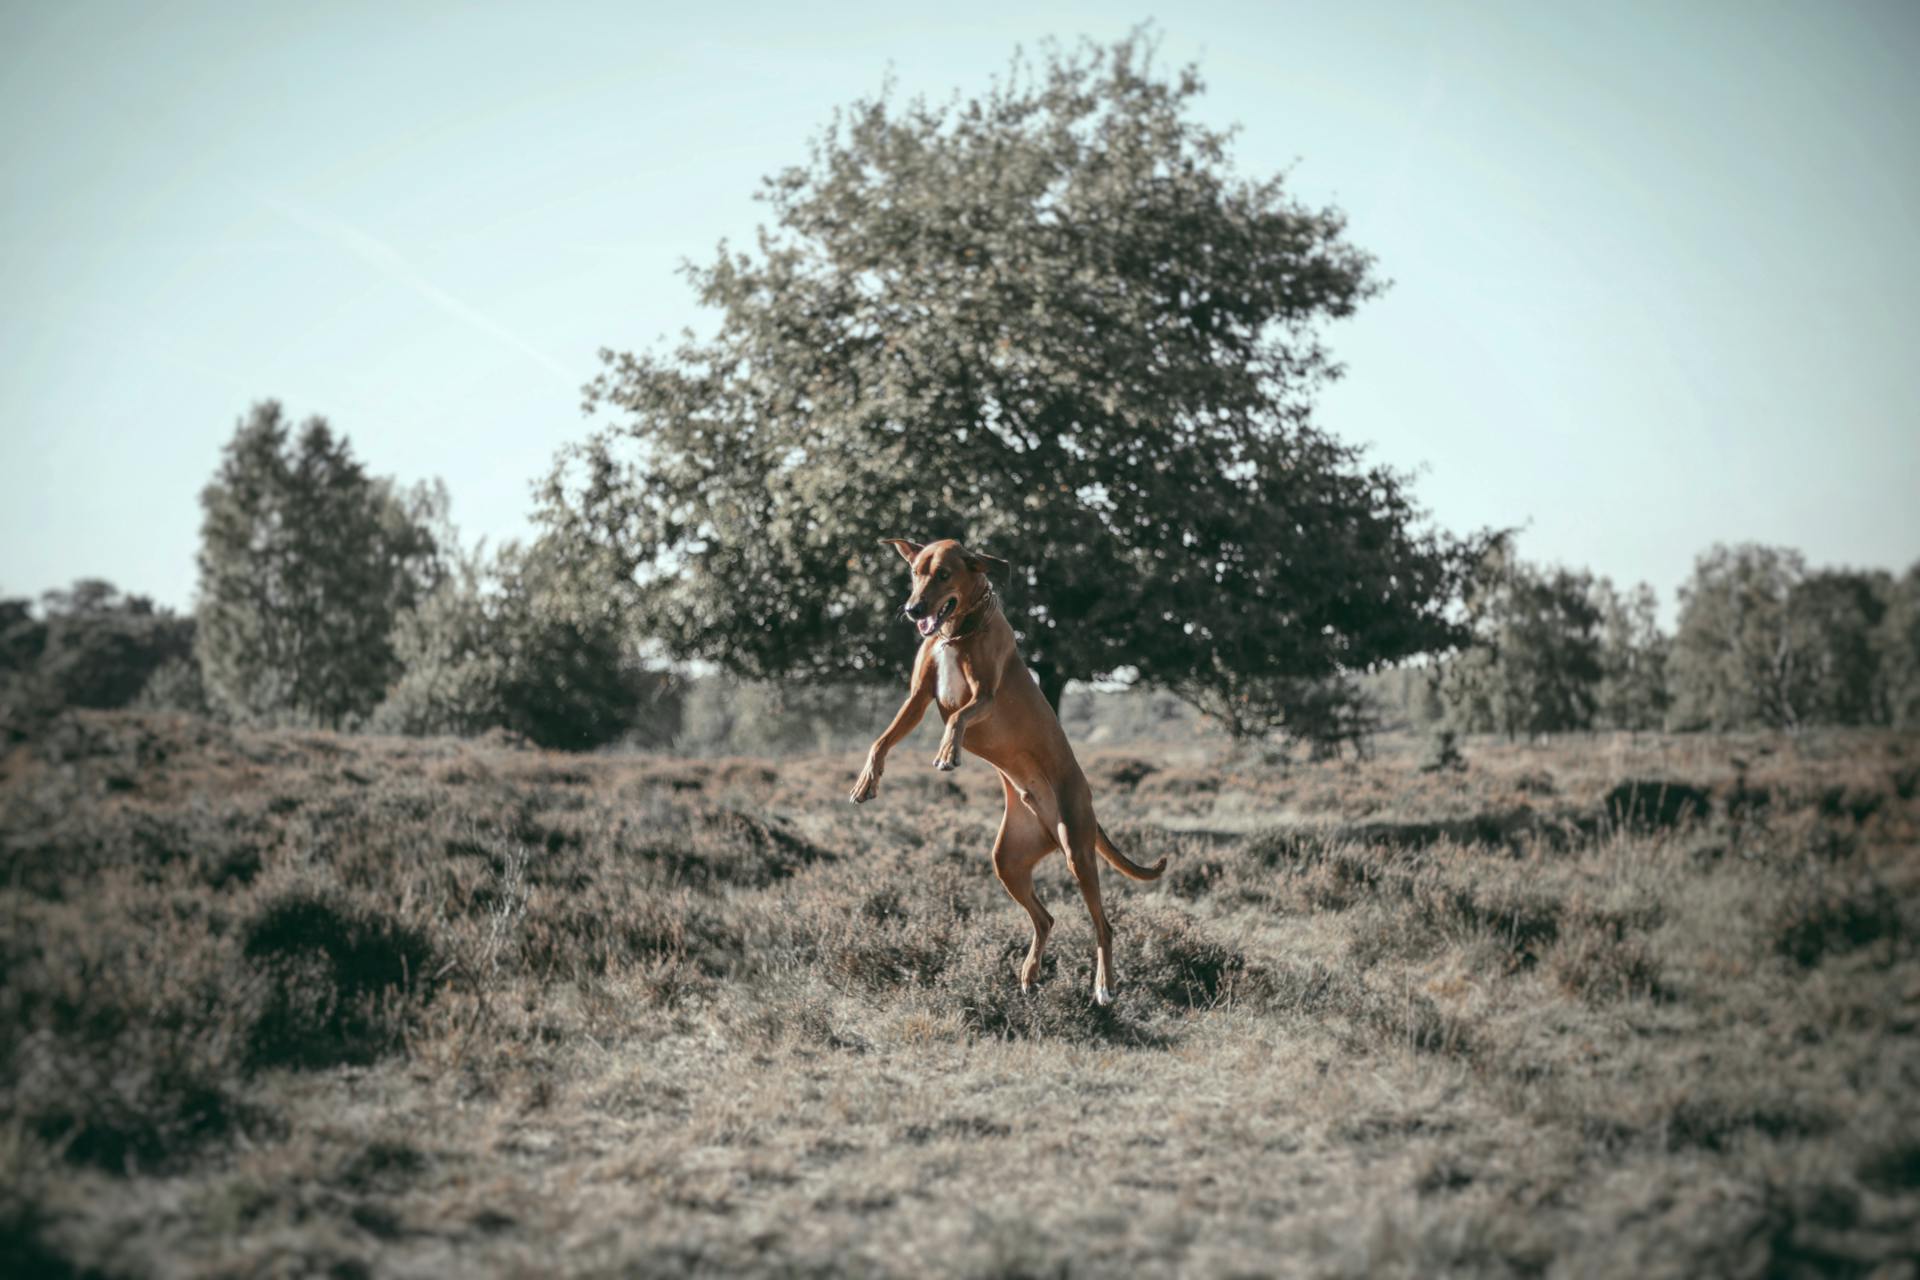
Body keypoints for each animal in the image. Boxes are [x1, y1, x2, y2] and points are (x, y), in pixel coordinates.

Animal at [852, 537, 1152, 1005]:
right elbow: (880, 740)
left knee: (1104, 925)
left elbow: (958, 718)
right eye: (916, 572)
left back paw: (1103, 985)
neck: (956, 633)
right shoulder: (918, 697)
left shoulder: (985, 696)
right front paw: (867, 781)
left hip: (1077, 849)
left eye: (944, 574)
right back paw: (1030, 973)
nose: (913, 610)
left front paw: (947, 752)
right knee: (1045, 918)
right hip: (1008, 858)